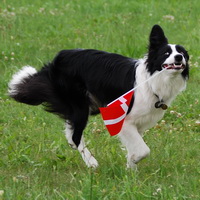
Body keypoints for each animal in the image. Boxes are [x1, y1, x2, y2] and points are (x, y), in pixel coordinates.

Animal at [7, 24, 189, 169]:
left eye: (182, 53)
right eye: (166, 53)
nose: (179, 57)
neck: (153, 81)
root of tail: (57, 58)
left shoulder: (139, 124)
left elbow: (135, 146)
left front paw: (131, 171)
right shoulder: (124, 119)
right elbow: (143, 150)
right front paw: (133, 162)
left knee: (71, 133)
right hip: (80, 105)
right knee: (75, 135)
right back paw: (92, 163)